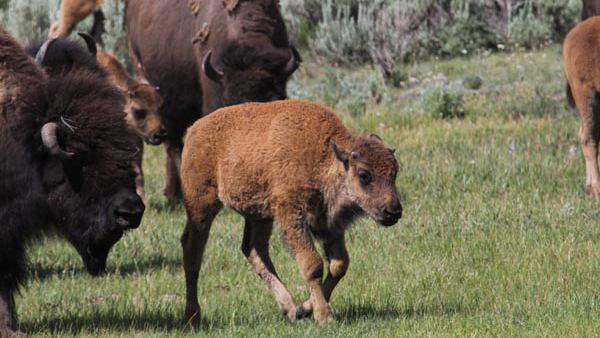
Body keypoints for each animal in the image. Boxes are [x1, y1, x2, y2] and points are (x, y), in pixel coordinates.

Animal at [180, 99, 400, 324]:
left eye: (395, 172)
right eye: (364, 175)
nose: (393, 211)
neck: (323, 156)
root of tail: (194, 129)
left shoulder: (330, 225)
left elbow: (339, 265)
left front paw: (304, 309)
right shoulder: (292, 215)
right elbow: (313, 265)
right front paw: (324, 316)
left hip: (259, 214)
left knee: (254, 250)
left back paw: (290, 308)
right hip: (201, 205)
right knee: (192, 253)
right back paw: (192, 316)